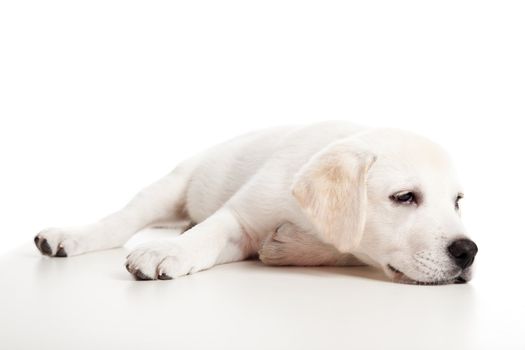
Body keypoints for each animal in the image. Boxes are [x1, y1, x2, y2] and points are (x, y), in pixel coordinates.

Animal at [31, 121, 474, 284]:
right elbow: (207, 233)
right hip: (174, 184)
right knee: (121, 220)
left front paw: (286, 247)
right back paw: (68, 236)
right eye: (404, 197)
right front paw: (166, 250)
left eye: (457, 201)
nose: (468, 251)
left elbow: (340, 249)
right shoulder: (242, 216)